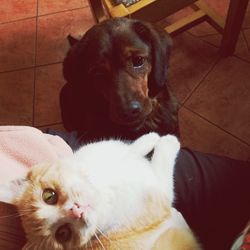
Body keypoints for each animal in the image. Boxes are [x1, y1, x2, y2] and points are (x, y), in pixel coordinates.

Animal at [0, 132, 200, 249]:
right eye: (63, 234)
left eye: (49, 196)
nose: (76, 210)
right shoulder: (162, 194)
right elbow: (162, 164)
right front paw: (168, 142)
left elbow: (128, 148)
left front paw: (148, 139)